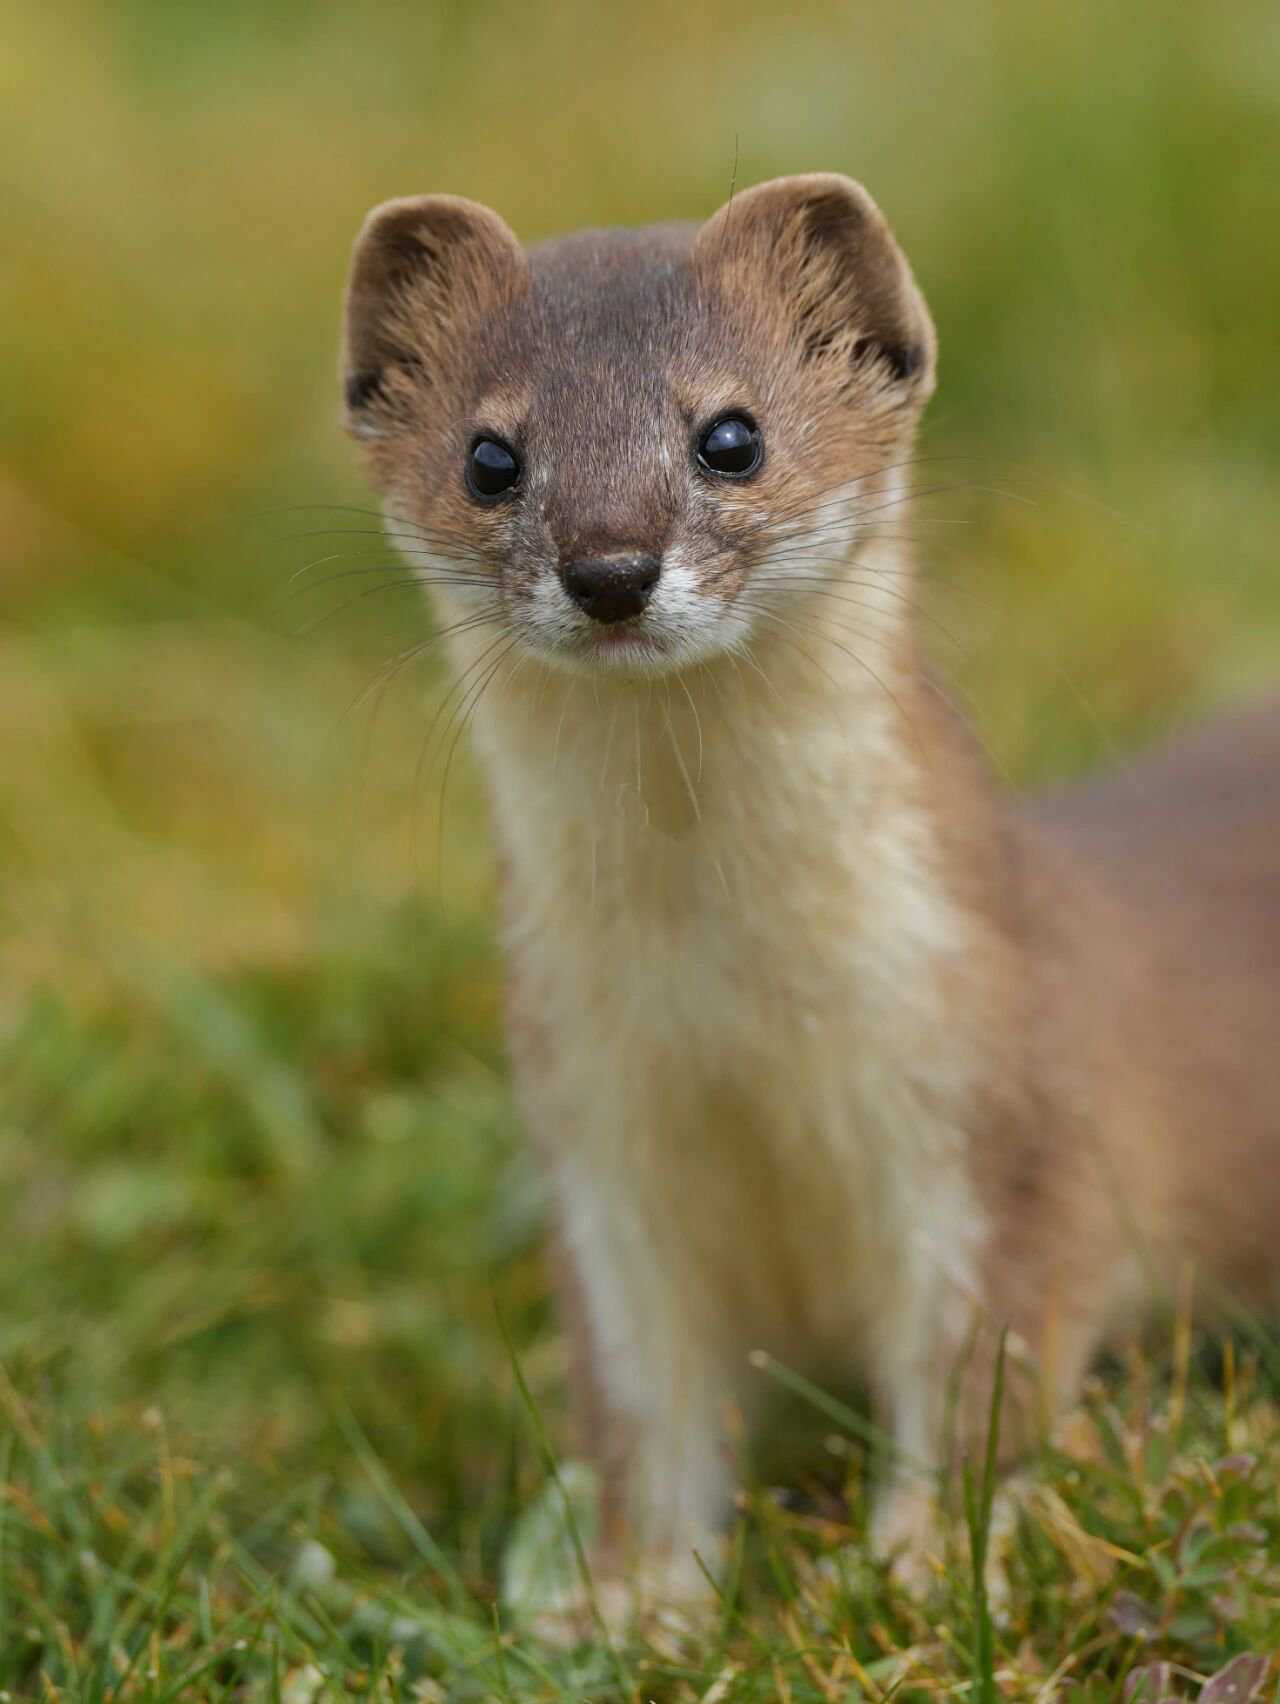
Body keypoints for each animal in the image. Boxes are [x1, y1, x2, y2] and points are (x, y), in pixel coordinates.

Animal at [337, 176, 1280, 1622]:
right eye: (490, 456)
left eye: (730, 434)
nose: (609, 567)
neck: (737, 1032)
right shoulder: (600, 1152)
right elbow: (645, 1413)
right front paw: (629, 1602)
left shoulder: (1001, 1115)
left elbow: (982, 1374)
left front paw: (921, 1566)